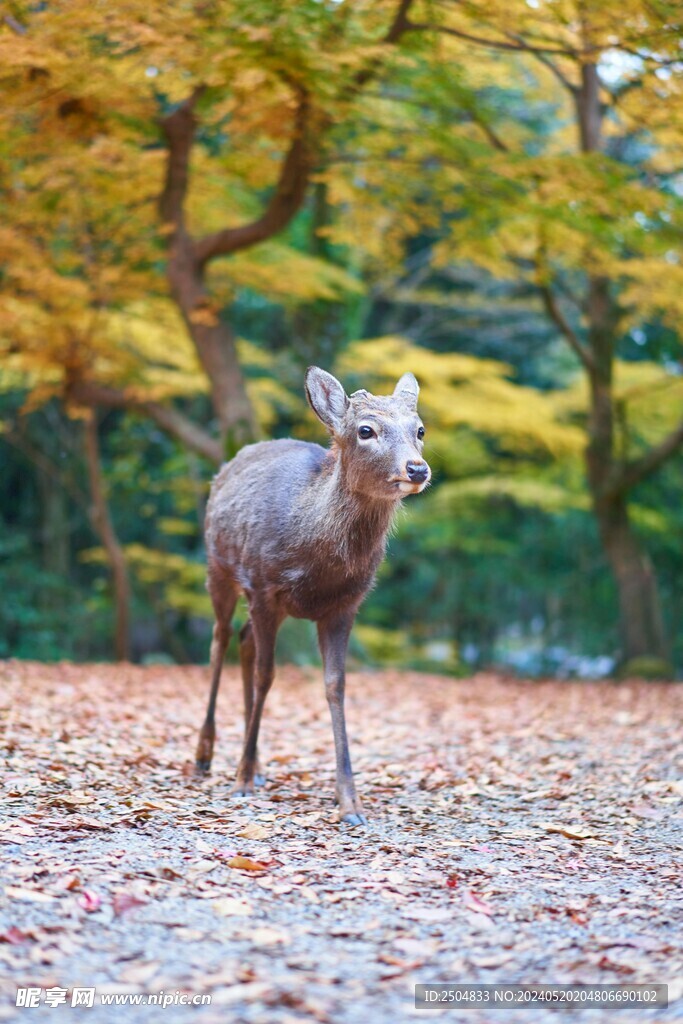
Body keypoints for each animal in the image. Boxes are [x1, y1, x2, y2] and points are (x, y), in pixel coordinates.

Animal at [195, 366, 430, 825]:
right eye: (365, 430)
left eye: (420, 429)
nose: (417, 469)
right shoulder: (264, 586)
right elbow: (267, 675)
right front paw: (241, 782)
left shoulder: (345, 605)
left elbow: (335, 685)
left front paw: (350, 802)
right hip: (219, 567)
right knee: (219, 640)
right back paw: (206, 755)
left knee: (244, 642)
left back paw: (257, 764)